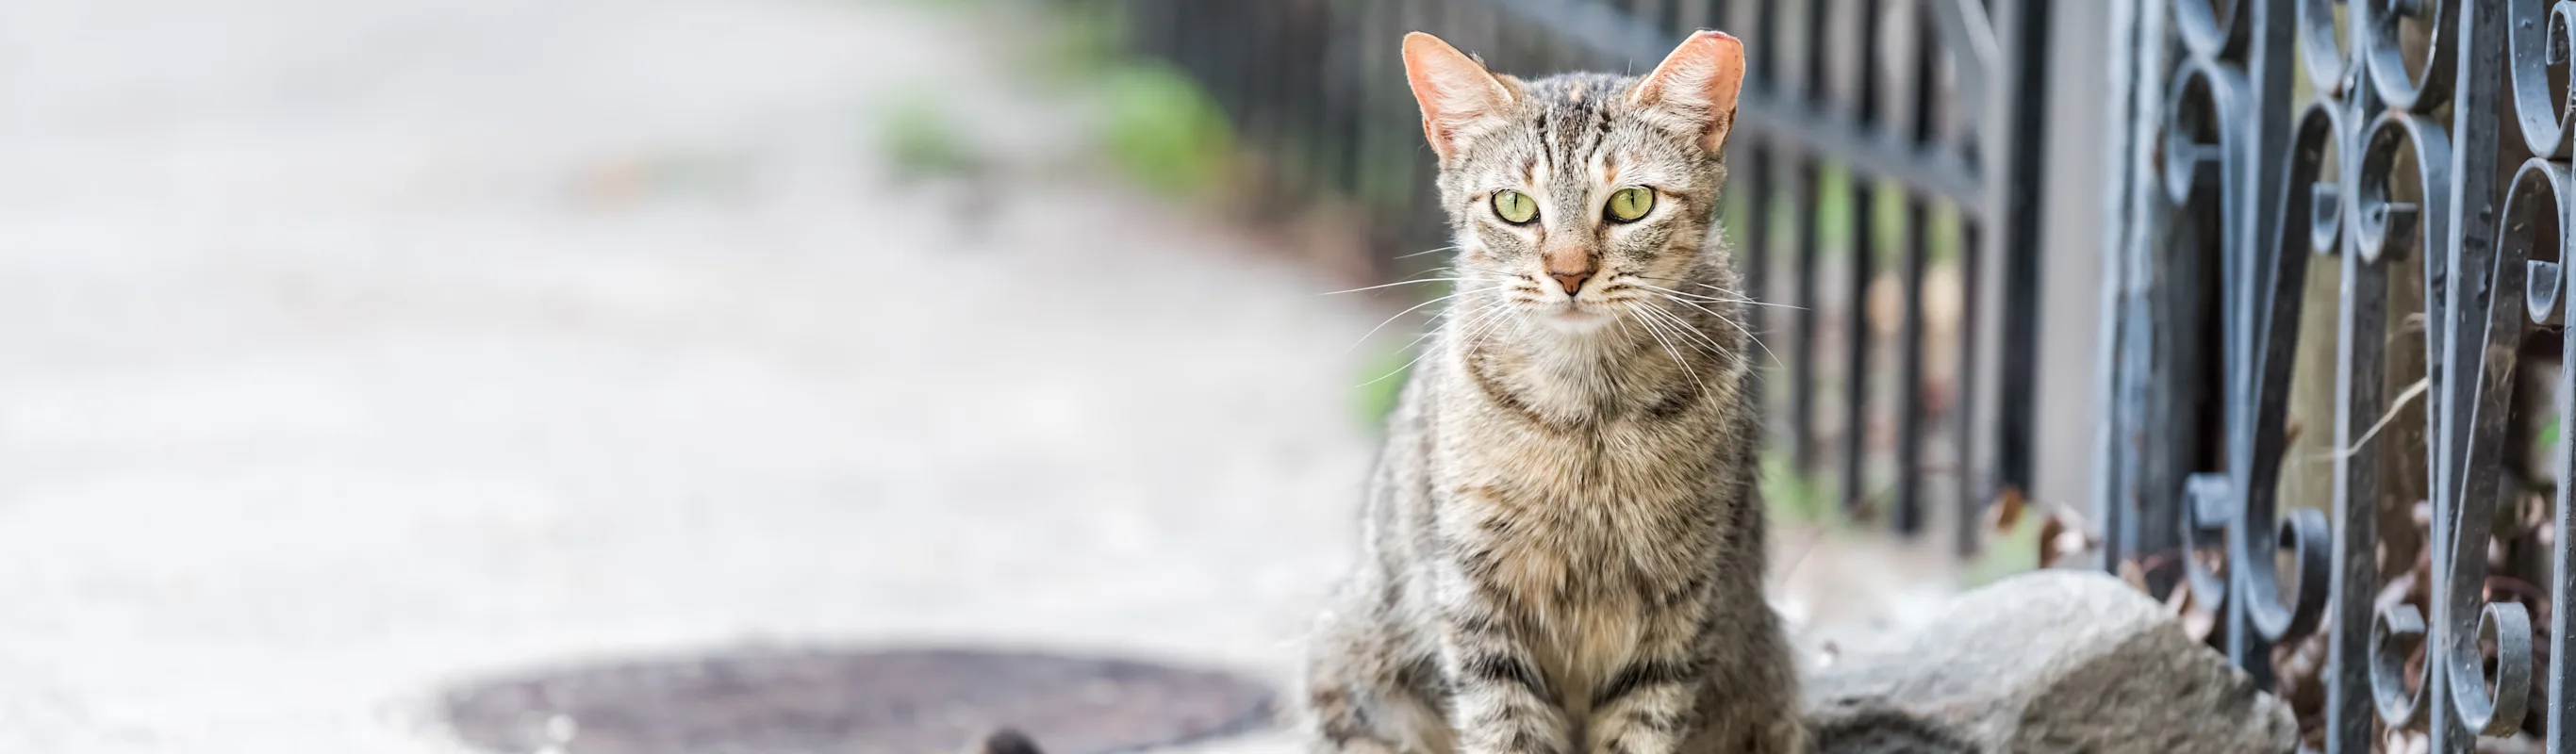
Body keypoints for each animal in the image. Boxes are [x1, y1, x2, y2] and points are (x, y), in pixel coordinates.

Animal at [1297, 29, 1803, 751]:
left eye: (1631, 203)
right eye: (1514, 206)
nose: (1568, 274)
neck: (1587, 415)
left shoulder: (1680, 602)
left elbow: (1641, 729)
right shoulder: (1478, 595)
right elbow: (1506, 727)